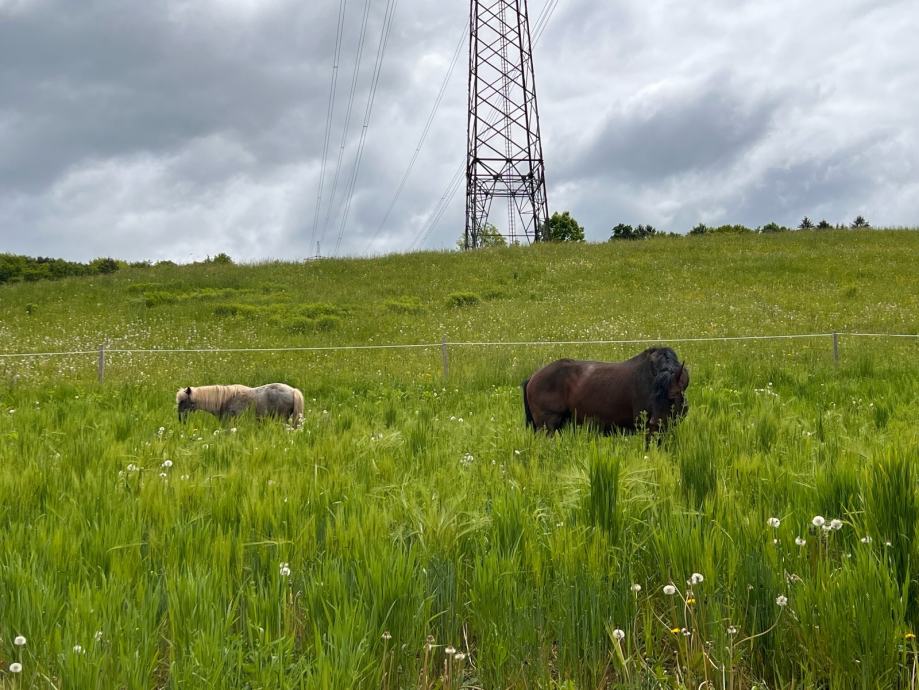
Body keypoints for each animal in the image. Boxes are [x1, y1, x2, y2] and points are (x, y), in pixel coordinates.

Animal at [522, 347, 689, 442]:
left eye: (672, 397)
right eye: (653, 397)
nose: (655, 422)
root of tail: (533, 377)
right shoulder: (648, 431)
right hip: (546, 427)